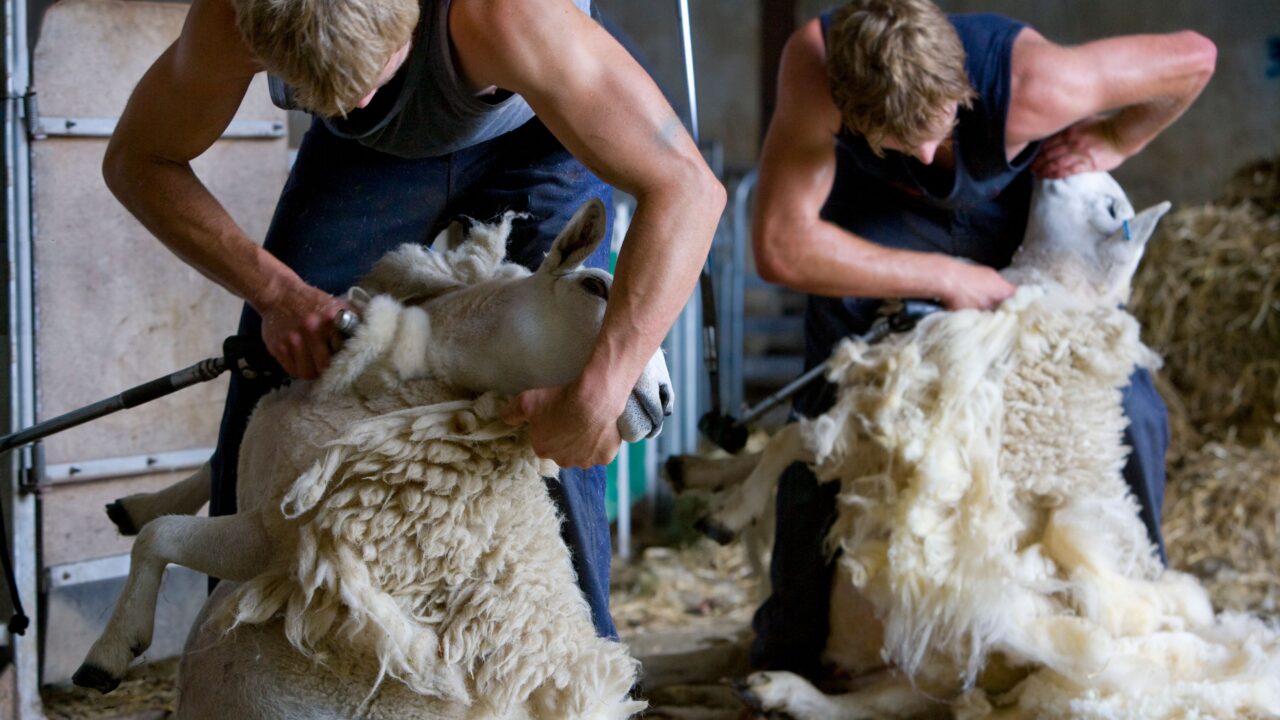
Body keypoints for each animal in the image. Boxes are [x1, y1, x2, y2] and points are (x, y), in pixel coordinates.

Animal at [72, 198, 670, 717]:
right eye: (593, 286)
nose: (664, 399)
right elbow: (212, 463)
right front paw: (136, 503)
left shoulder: (279, 538)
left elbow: (161, 538)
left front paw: (108, 654)